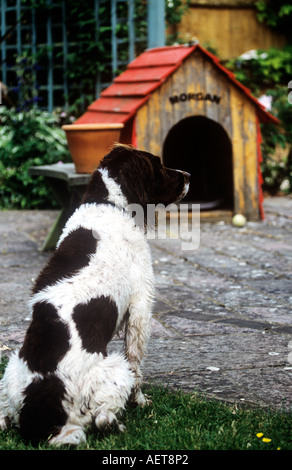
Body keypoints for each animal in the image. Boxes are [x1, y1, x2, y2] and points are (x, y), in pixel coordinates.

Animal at [0, 145, 190, 446]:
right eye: (159, 166)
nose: (188, 176)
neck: (107, 203)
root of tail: (39, 407)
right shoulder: (140, 305)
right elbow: (137, 361)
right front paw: (141, 402)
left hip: (9, 370)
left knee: (4, 417)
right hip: (114, 369)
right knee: (99, 419)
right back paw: (116, 425)